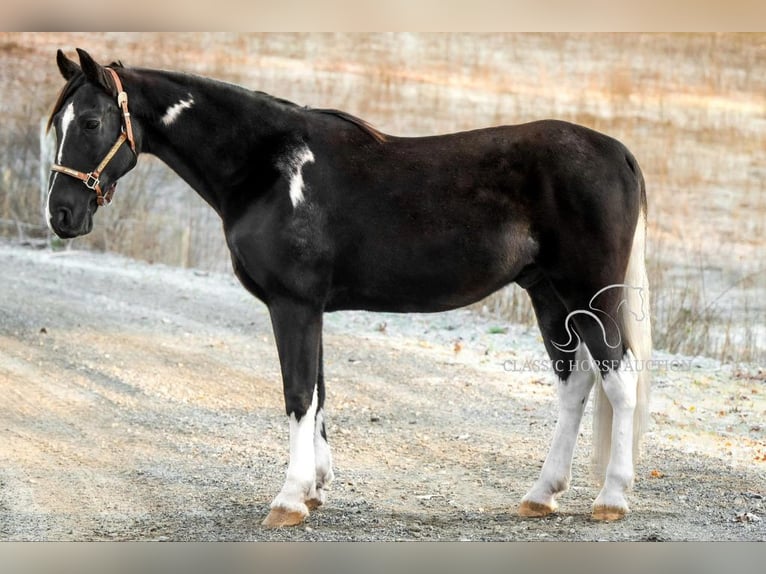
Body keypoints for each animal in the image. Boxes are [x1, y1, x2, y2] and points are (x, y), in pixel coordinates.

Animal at [45, 49, 652, 528]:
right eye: (60, 124)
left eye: (92, 122)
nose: (61, 214)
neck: (269, 167)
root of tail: (617, 151)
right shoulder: (310, 308)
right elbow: (318, 394)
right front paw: (314, 490)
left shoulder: (293, 305)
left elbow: (297, 394)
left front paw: (288, 501)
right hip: (548, 294)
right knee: (575, 382)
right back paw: (541, 495)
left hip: (589, 293)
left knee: (619, 379)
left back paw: (611, 499)